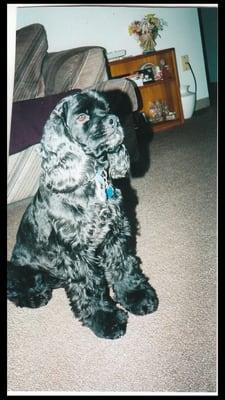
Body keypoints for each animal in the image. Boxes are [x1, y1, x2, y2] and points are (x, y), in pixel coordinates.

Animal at [7, 90, 158, 338]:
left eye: (106, 108)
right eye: (81, 117)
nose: (114, 120)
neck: (92, 181)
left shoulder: (115, 235)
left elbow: (124, 267)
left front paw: (136, 296)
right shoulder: (75, 251)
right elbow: (90, 287)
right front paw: (106, 319)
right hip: (20, 271)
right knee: (16, 289)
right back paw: (35, 296)